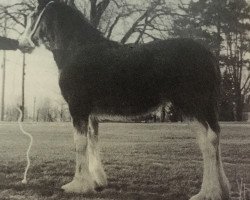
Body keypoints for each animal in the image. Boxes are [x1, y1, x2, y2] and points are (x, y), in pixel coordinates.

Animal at [19, 0, 230, 199]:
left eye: (33, 15)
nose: (22, 44)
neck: (77, 49)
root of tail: (209, 55)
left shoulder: (78, 107)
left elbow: (80, 143)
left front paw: (77, 185)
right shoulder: (91, 113)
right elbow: (93, 141)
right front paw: (97, 181)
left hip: (191, 106)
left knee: (207, 143)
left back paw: (208, 192)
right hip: (203, 109)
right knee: (215, 139)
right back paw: (222, 189)